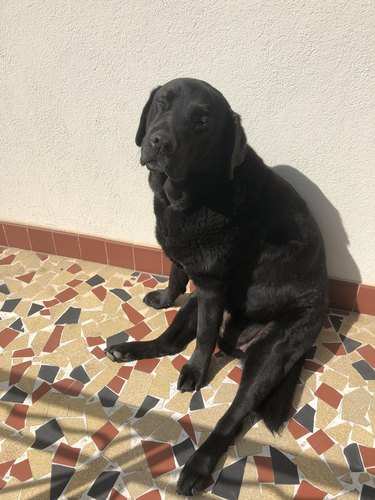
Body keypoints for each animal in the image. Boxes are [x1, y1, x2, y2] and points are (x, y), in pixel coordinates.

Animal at [105, 79, 326, 496]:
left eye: (202, 123)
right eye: (162, 103)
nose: (160, 142)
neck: (186, 195)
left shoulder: (210, 286)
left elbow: (205, 339)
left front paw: (196, 372)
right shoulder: (190, 273)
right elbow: (176, 274)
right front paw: (163, 298)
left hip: (268, 355)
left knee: (233, 414)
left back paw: (197, 466)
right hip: (196, 304)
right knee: (168, 342)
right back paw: (127, 349)